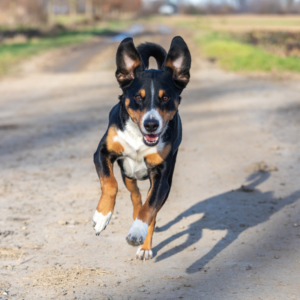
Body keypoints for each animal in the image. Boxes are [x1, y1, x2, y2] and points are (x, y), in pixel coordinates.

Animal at [92, 35, 191, 260]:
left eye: (165, 97)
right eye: (138, 97)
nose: (151, 124)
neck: (140, 139)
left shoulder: (162, 178)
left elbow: (149, 209)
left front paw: (137, 231)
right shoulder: (102, 152)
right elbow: (110, 184)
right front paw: (102, 216)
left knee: (149, 209)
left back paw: (144, 245)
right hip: (128, 174)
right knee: (135, 196)